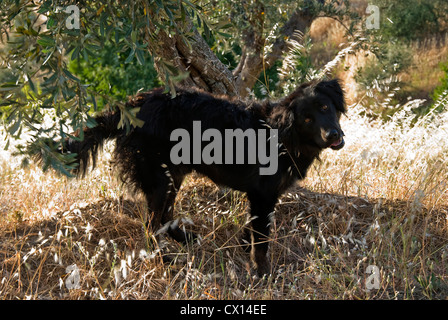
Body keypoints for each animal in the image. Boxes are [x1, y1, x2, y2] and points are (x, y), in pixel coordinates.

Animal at [62, 80, 346, 276]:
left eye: (325, 107)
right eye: (307, 119)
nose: (333, 135)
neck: (284, 135)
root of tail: (133, 104)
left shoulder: (258, 197)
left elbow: (252, 228)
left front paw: (244, 247)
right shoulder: (263, 195)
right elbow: (262, 240)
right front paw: (263, 272)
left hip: (173, 176)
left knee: (164, 216)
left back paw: (186, 240)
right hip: (160, 178)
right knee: (152, 224)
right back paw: (163, 259)